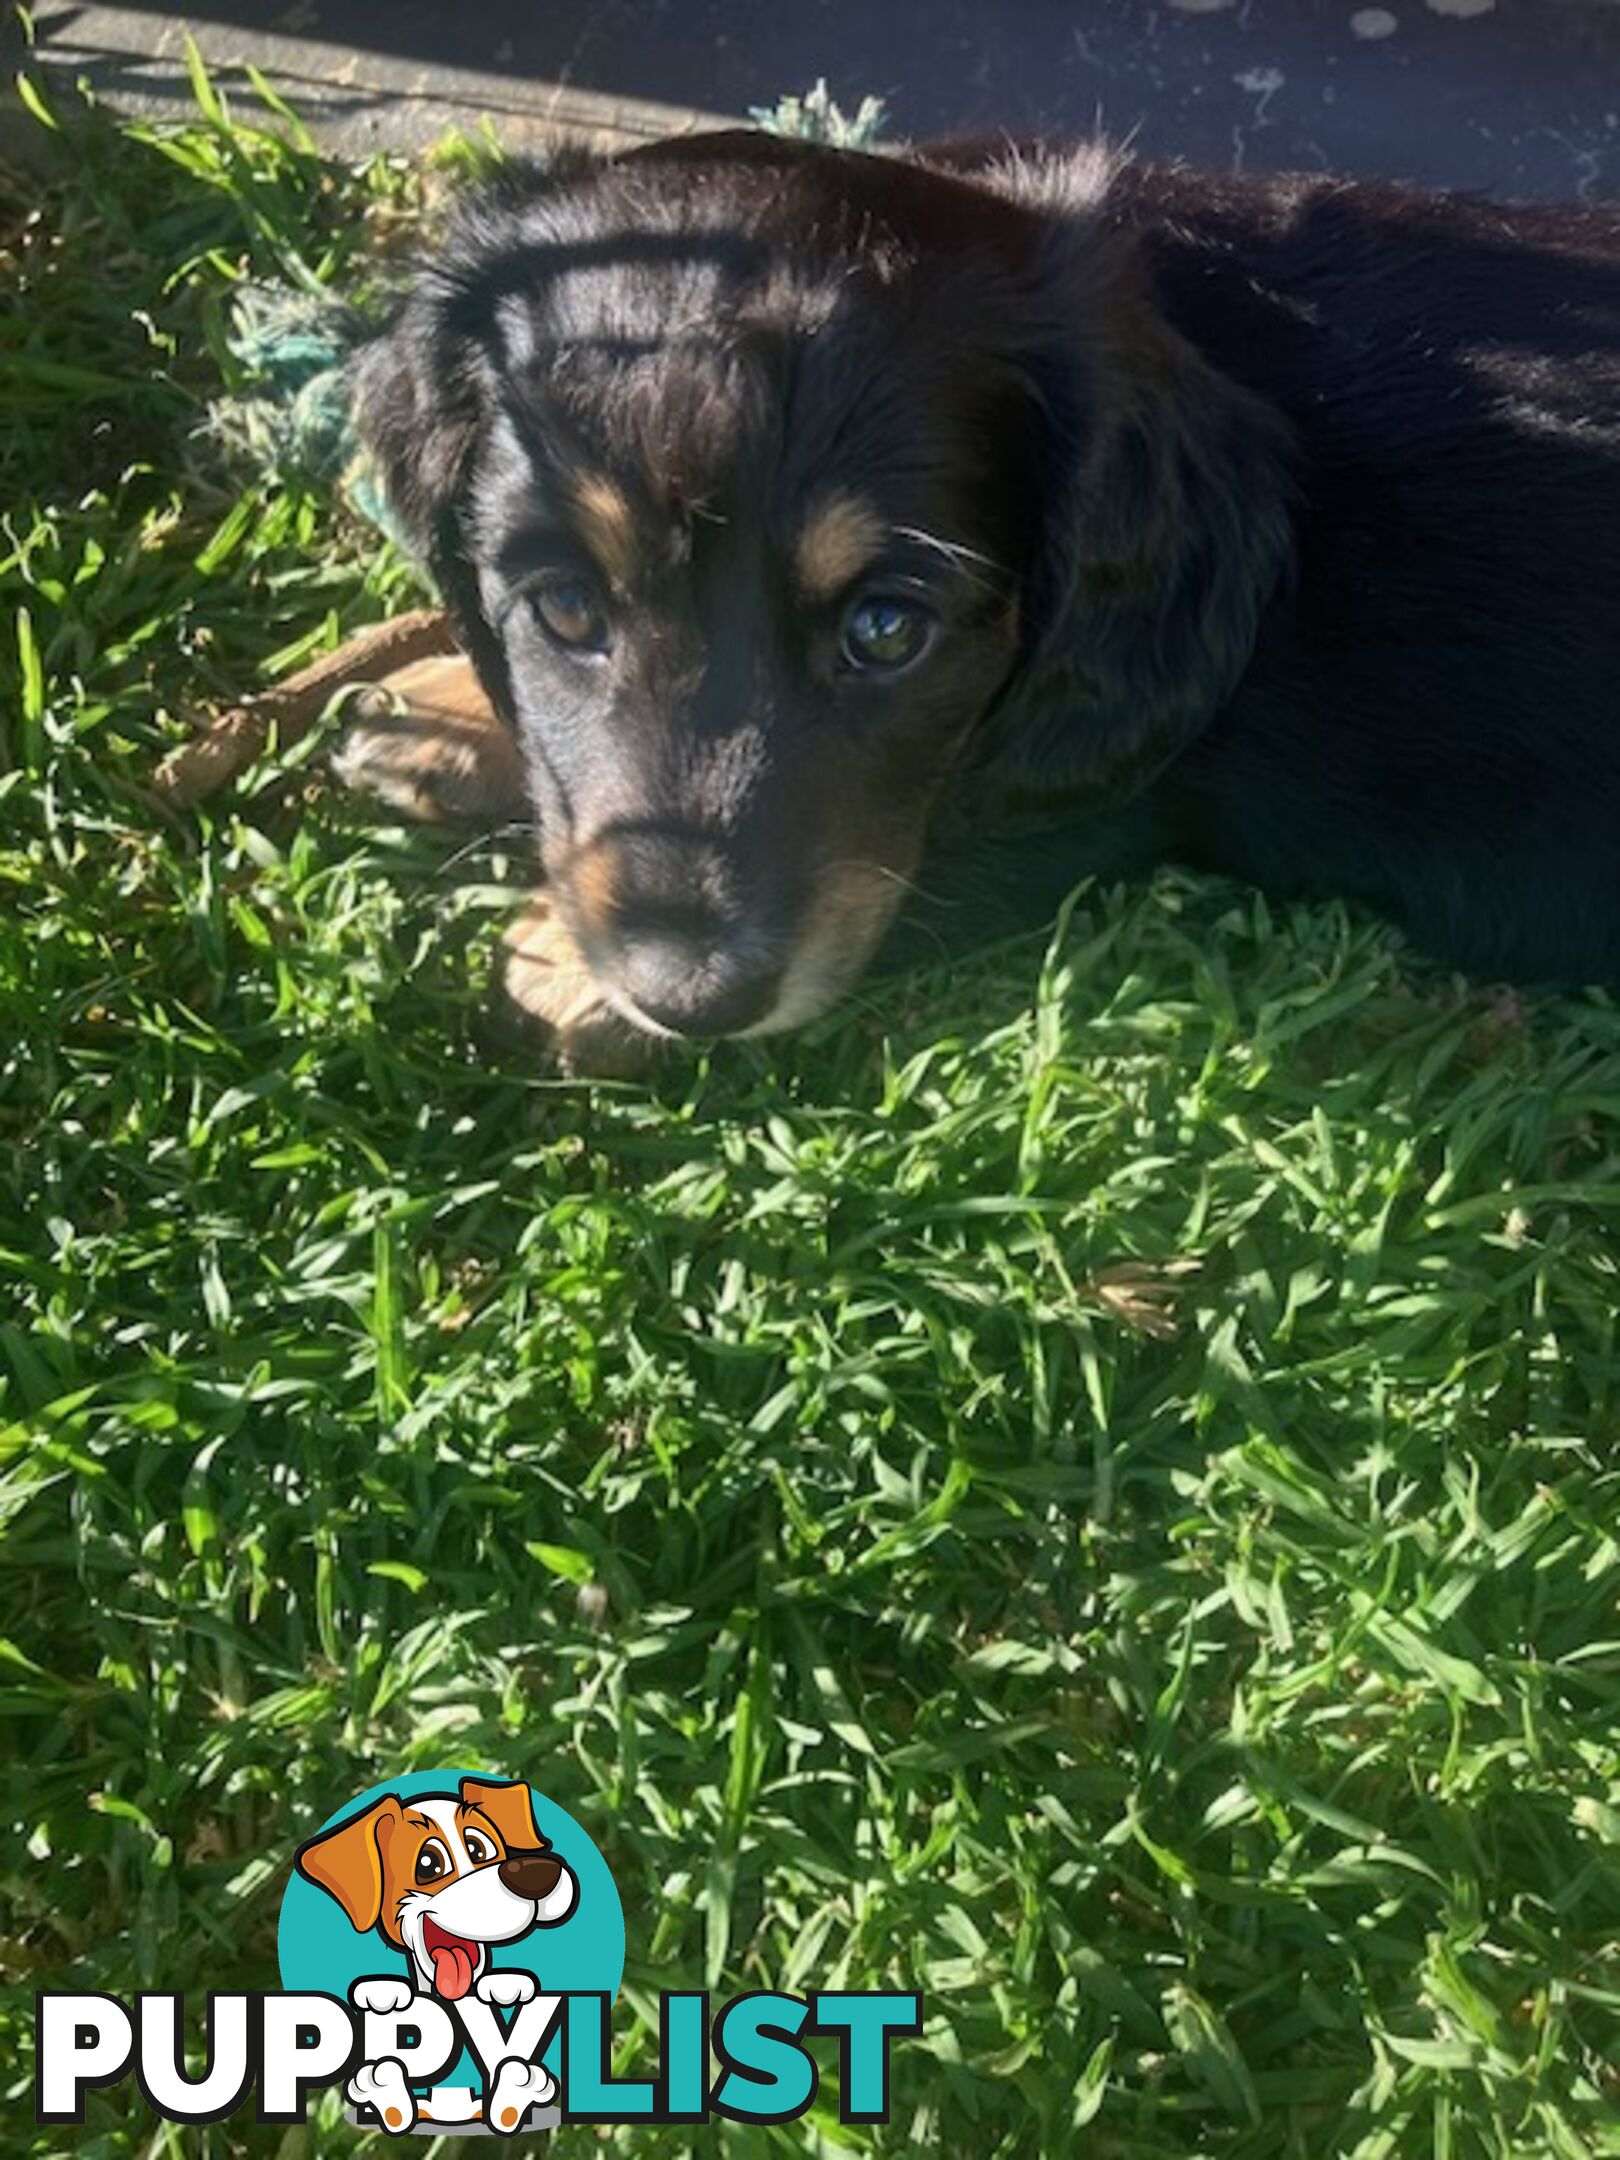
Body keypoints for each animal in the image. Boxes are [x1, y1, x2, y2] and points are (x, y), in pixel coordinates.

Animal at [336, 132, 1620, 1062]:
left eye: (886, 630)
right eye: (563, 611)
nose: (688, 997)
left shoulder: (1093, 789)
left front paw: (557, 964)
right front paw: (441, 708)